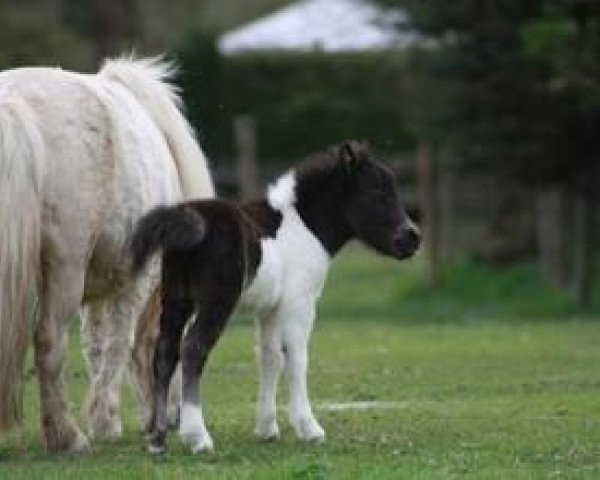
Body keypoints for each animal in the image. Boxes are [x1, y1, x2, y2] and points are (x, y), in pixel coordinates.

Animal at [0, 56, 214, 450]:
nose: (175, 417)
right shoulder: (135, 279)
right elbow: (119, 343)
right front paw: (105, 421)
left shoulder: (98, 287)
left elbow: (96, 346)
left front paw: (105, 416)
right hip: (65, 268)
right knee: (49, 339)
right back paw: (67, 437)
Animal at [133, 140, 420, 454]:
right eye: (375, 190)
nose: (412, 238)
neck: (304, 227)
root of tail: (187, 221)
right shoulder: (300, 306)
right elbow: (296, 359)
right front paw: (310, 429)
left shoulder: (269, 310)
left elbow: (270, 357)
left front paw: (267, 428)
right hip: (215, 303)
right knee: (193, 349)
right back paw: (197, 437)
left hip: (176, 300)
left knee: (164, 354)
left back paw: (158, 439)